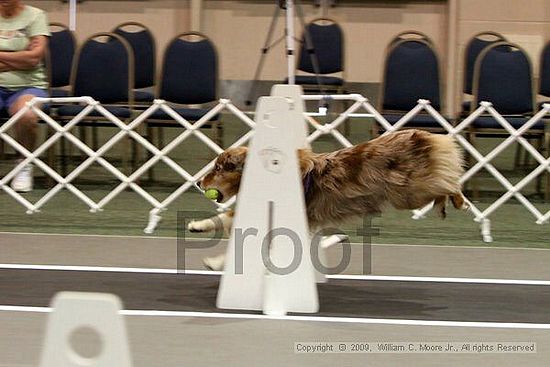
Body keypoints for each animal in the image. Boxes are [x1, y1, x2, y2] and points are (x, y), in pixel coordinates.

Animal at [189, 129, 470, 270]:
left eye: (218, 168)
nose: (198, 183)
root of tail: (423, 134)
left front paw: (214, 257)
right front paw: (201, 231)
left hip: (410, 192)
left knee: (447, 183)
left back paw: (459, 202)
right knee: (444, 183)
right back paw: (447, 206)